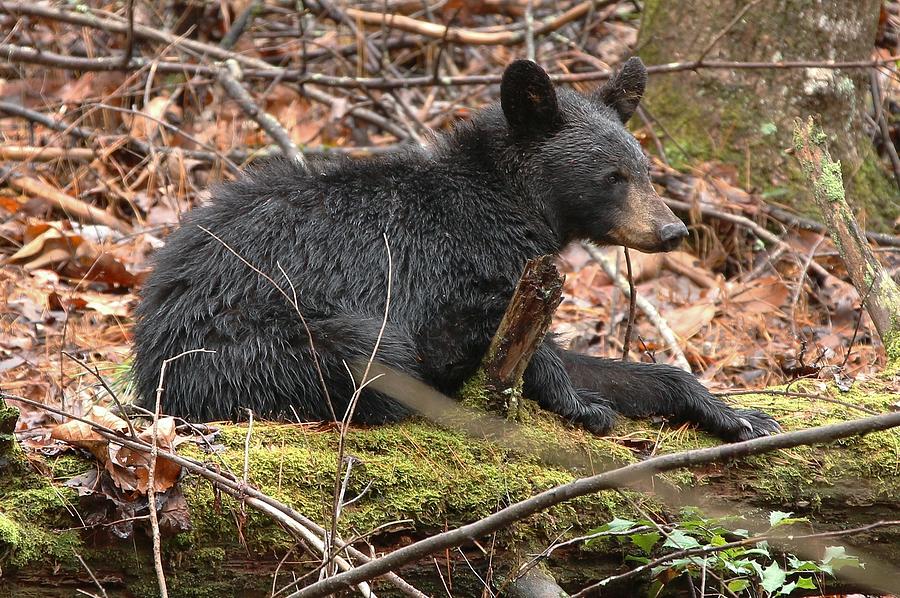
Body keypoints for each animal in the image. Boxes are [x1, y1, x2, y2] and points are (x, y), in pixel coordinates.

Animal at [130, 58, 776, 442]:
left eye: (643, 168)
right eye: (611, 176)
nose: (672, 231)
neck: (504, 203)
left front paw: (735, 412)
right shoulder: (451, 265)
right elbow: (473, 336)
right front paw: (578, 402)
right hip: (249, 344)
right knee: (373, 355)